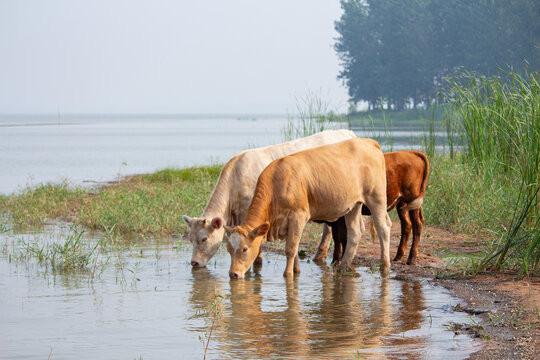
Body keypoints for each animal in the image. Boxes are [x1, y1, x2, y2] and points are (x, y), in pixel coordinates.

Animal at [224, 138, 392, 278]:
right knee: (355, 232)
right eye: (229, 249)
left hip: (376, 197)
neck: (277, 183)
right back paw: (343, 266)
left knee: (383, 228)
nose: (233, 274)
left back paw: (384, 266)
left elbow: (290, 249)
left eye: (244, 249)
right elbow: (295, 247)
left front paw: (288, 275)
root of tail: (367, 141)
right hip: (353, 205)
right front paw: (296, 270)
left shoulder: (298, 216)